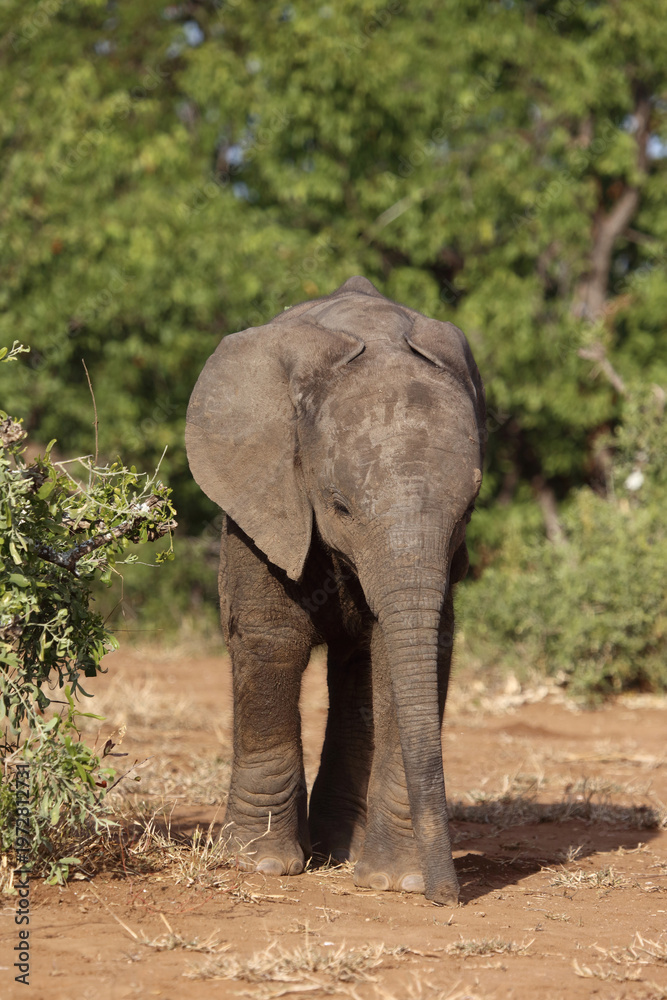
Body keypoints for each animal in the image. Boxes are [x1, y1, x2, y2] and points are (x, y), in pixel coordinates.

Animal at [185, 276, 485, 905]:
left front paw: (396, 880)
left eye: (468, 510)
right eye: (340, 506)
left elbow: (403, 657)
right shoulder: (266, 495)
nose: (447, 898)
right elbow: (270, 639)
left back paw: (342, 851)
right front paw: (261, 866)